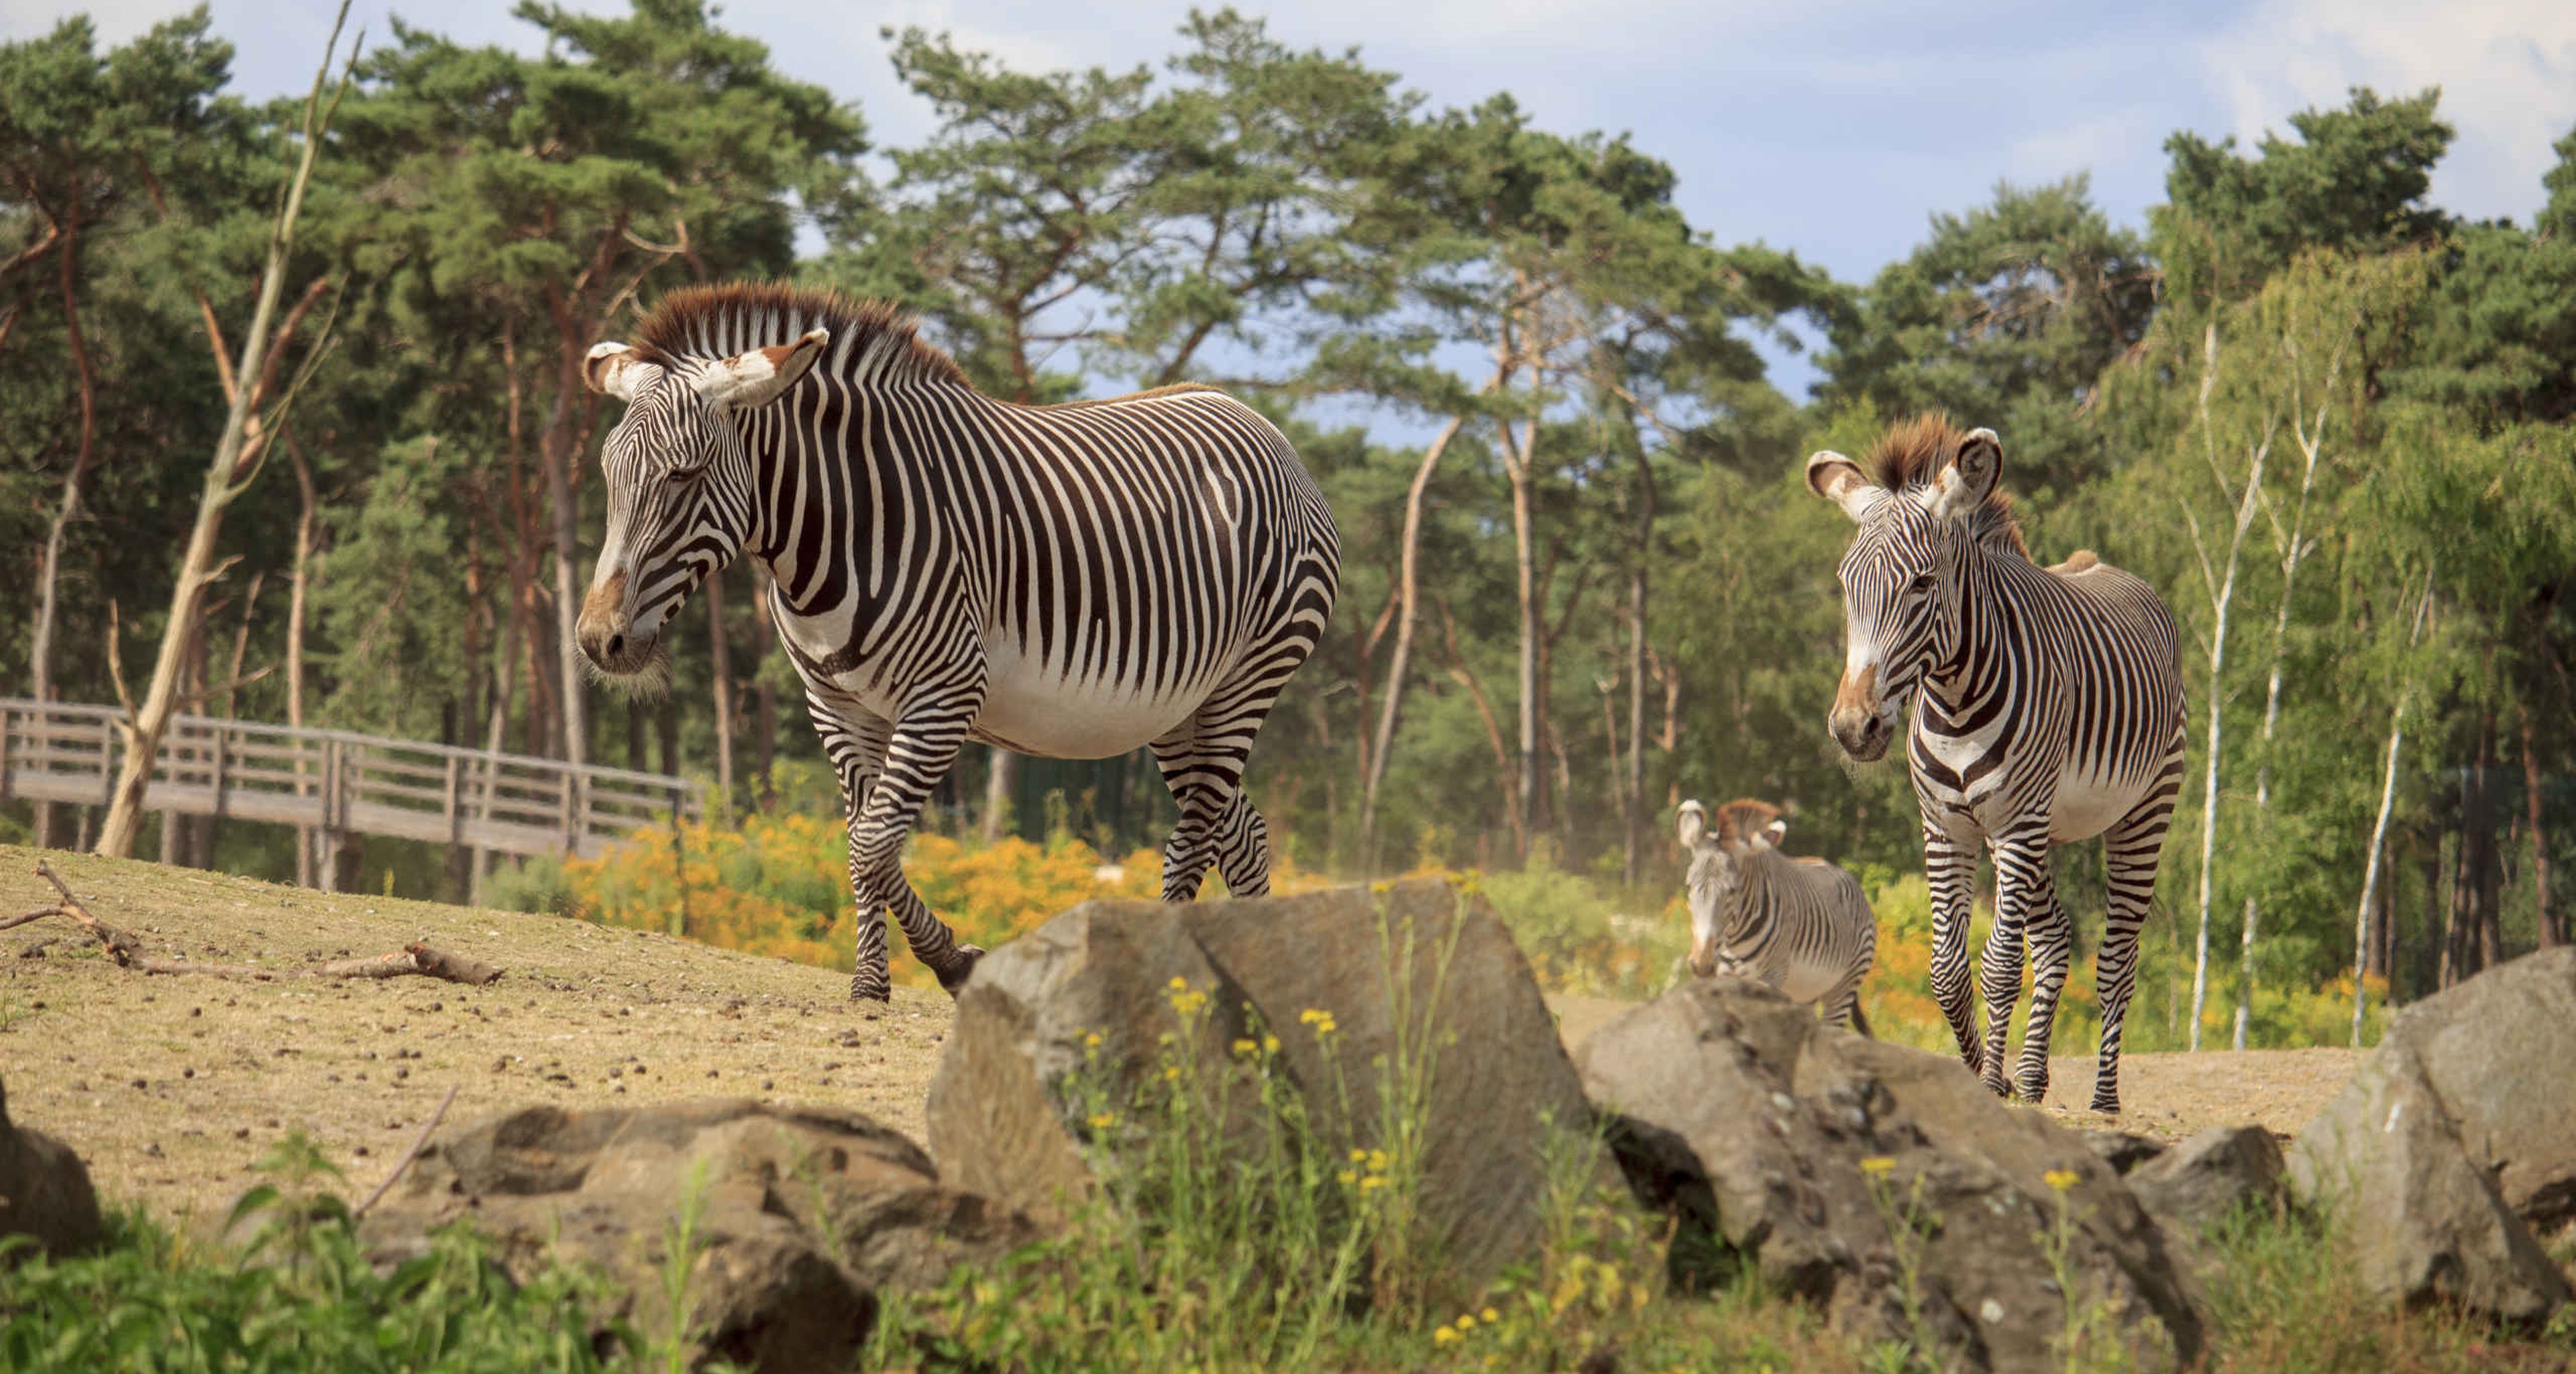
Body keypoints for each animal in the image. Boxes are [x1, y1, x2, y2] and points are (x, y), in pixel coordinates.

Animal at [571, 284, 1341, 1002]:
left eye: (684, 474)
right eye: (608, 474)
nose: (599, 640)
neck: (839, 529)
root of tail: (1259, 422)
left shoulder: (946, 694)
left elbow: (874, 844)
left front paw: (951, 963)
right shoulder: (838, 704)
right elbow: (862, 839)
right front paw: (871, 982)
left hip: (1250, 676)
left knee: (1196, 833)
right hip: (1181, 708)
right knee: (1243, 835)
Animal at [1675, 798, 1876, 1034]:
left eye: (1732, 891)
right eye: (1688, 886)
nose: (1703, 965)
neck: (1734, 940)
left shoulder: (1772, 977)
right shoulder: (1725, 978)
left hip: (1844, 988)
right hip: (1804, 993)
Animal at [1806, 414, 2185, 1114]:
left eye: (1922, 583)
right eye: (1846, 586)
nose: (1853, 728)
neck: (1954, 700)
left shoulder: (2014, 827)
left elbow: (2002, 963)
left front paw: (1989, 1083)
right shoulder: (1947, 828)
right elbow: (1947, 971)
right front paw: (1992, 1076)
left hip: (2141, 810)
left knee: (2118, 956)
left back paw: (2104, 1099)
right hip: (2043, 827)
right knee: (2058, 937)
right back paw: (2033, 1080)